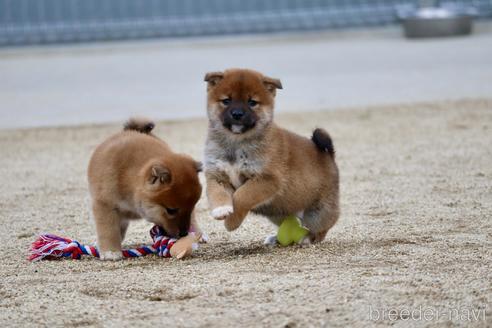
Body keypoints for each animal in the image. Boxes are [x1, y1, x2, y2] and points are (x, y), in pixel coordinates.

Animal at [88, 118, 202, 258]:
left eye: (191, 207)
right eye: (171, 210)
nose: (184, 234)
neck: (127, 177)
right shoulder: (105, 205)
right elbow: (108, 230)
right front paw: (111, 251)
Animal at [204, 68, 338, 243]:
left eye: (252, 102)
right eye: (226, 101)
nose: (237, 114)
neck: (236, 143)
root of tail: (329, 156)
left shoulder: (268, 179)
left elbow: (242, 196)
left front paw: (232, 222)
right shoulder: (216, 174)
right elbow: (216, 192)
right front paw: (221, 209)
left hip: (317, 212)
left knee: (324, 226)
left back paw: (308, 238)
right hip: (279, 211)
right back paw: (276, 239)